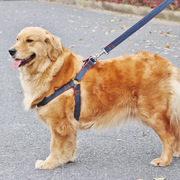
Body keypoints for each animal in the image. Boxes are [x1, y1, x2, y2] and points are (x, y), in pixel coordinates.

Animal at [8, 26, 180, 169]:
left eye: (29, 40)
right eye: (17, 39)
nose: (11, 51)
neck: (51, 68)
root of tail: (168, 64)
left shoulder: (60, 123)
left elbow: (55, 146)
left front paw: (50, 163)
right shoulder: (69, 123)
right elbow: (69, 144)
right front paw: (66, 159)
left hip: (152, 113)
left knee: (170, 137)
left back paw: (164, 160)